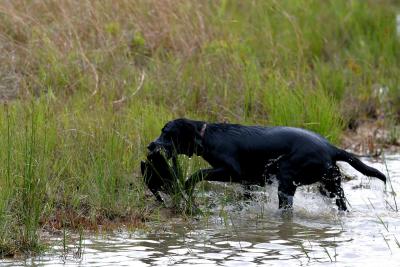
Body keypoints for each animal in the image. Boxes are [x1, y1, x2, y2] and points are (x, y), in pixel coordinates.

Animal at [147, 119, 388, 211]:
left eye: (166, 133)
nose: (150, 145)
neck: (208, 137)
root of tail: (331, 147)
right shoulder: (248, 182)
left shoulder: (232, 171)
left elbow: (198, 173)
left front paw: (187, 184)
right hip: (329, 185)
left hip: (287, 177)